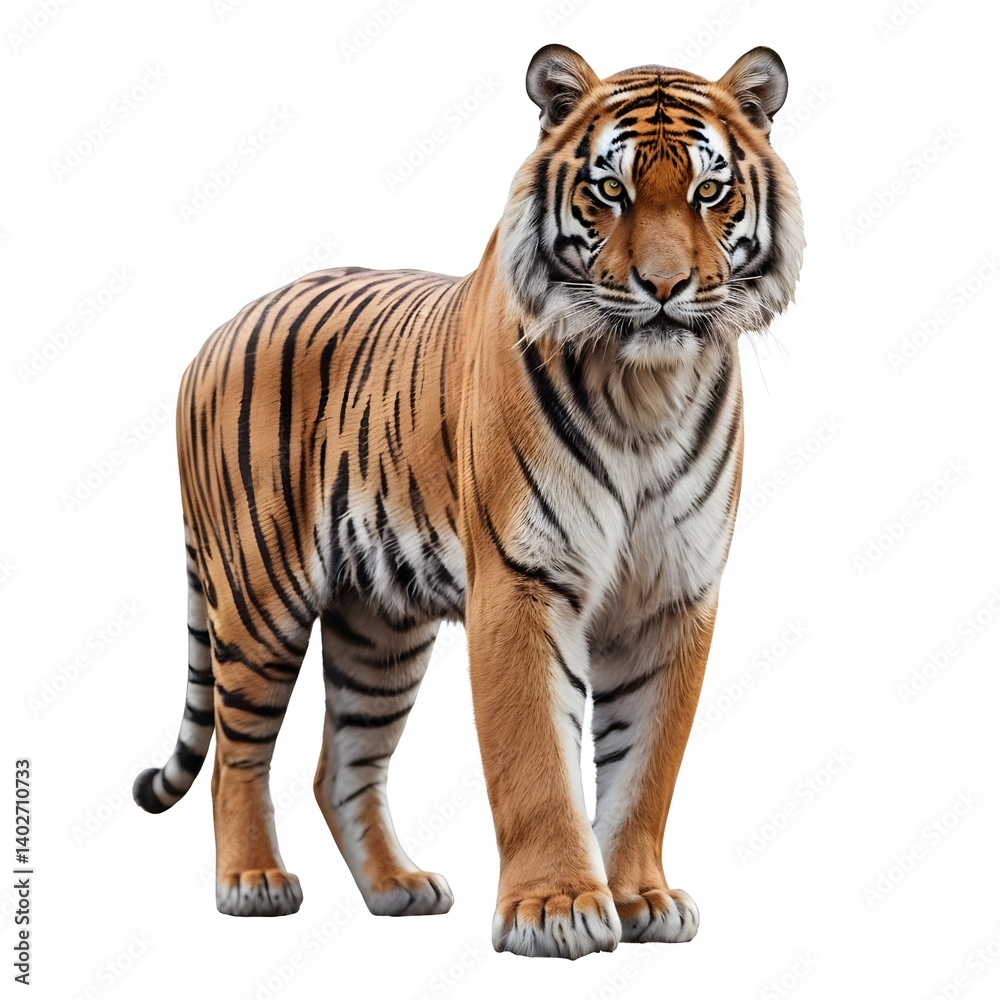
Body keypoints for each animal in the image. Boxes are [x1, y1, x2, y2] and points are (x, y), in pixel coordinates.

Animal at [132, 43, 804, 959]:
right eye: (610, 190)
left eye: (709, 192)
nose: (664, 286)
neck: (646, 391)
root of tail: (214, 334)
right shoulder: (523, 580)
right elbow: (535, 759)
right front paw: (556, 910)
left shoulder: (673, 595)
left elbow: (646, 764)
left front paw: (640, 898)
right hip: (258, 594)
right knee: (239, 752)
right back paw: (253, 882)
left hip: (378, 627)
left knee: (342, 765)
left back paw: (398, 887)